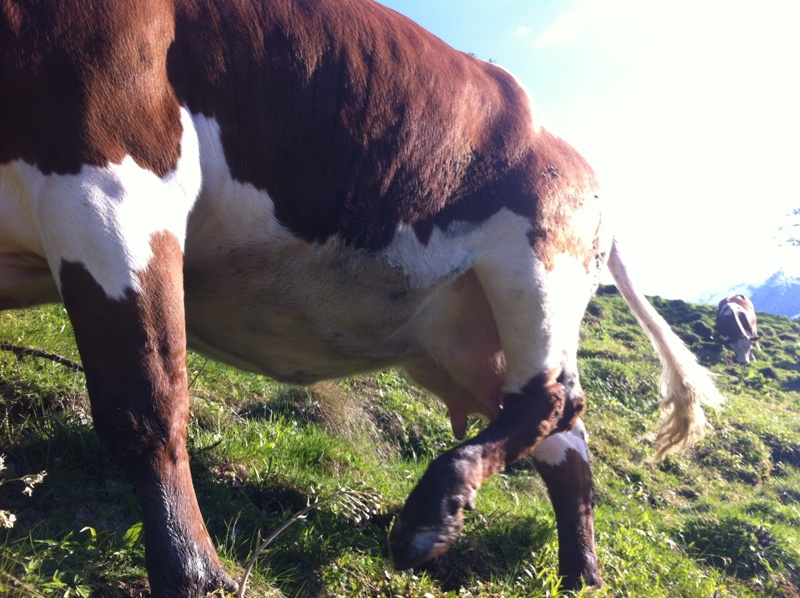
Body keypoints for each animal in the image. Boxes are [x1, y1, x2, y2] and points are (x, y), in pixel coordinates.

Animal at [0, 0, 723, 595]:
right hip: (469, 330)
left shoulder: (111, 177)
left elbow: (143, 408)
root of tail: (576, 158)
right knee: (562, 439)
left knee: (552, 402)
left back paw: (431, 516)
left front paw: (193, 572)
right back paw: (578, 575)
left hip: (538, 269)